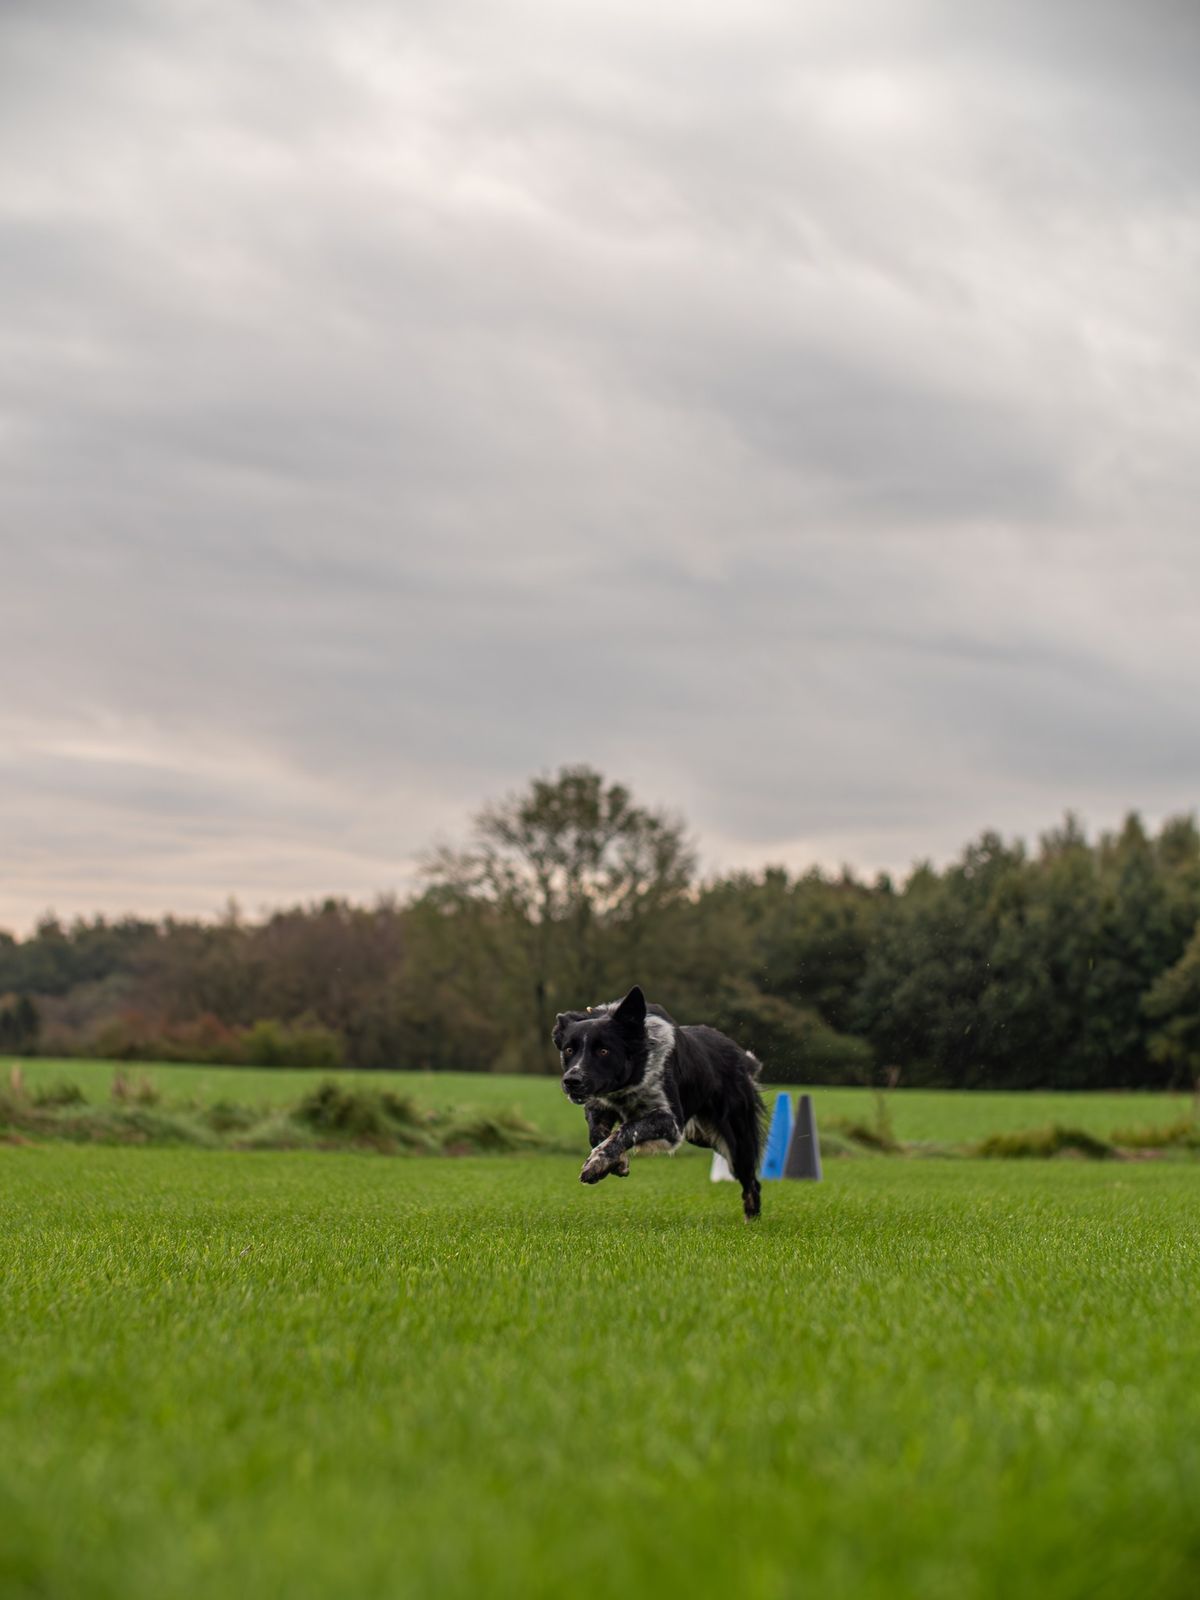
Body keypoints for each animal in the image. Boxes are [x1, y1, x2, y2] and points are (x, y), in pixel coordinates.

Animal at [556, 979, 771, 1216]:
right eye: (569, 1050)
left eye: (603, 1051)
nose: (571, 1081)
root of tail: (742, 1057)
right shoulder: (598, 1105)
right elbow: (597, 1135)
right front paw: (616, 1161)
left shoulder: (671, 1123)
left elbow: (629, 1128)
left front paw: (596, 1164)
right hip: (703, 1136)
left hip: (737, 1136)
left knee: (751, 1180)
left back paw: (752, 1216)